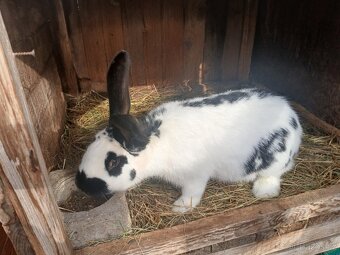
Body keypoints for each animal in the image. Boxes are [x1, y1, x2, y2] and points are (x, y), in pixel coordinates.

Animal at [75, 50, 302, 212]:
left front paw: (179, 207)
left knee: (274, 174)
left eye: (113, 162)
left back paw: (263, 191)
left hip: (276, 160)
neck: (157, 142)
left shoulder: (195, 176)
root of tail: (293, 119)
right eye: (92, 141)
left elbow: (193, 193)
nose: (81, 184)